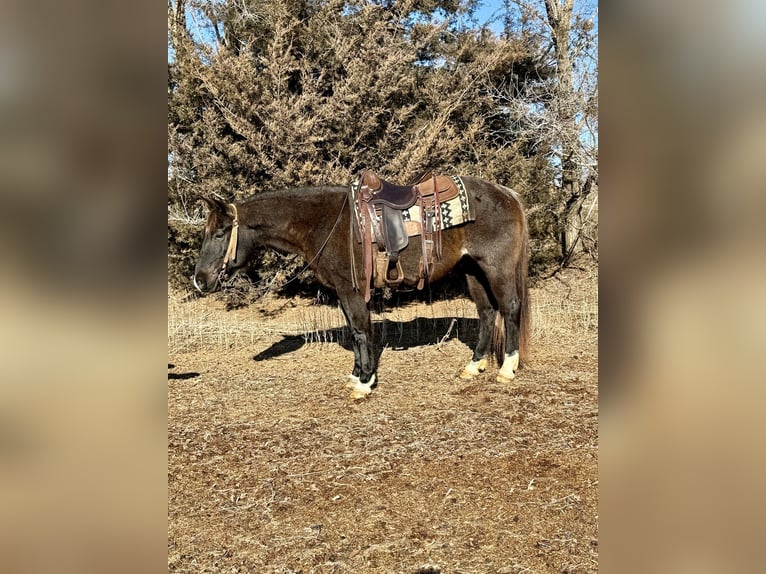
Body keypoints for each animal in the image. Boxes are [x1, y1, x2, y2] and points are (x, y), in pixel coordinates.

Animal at [192, 176, 530, 399]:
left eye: (221, 232)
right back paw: (473, 366)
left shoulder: (351, 290)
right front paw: (356, 376)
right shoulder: (342, 293)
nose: (200, 279)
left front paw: (365, 382)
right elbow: (355, 334)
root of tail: (507, 193)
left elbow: (360, 330)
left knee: (510, 308)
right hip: (473, 271)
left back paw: (506, 369)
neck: (325, 223)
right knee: (487, 312)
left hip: (496, 268)